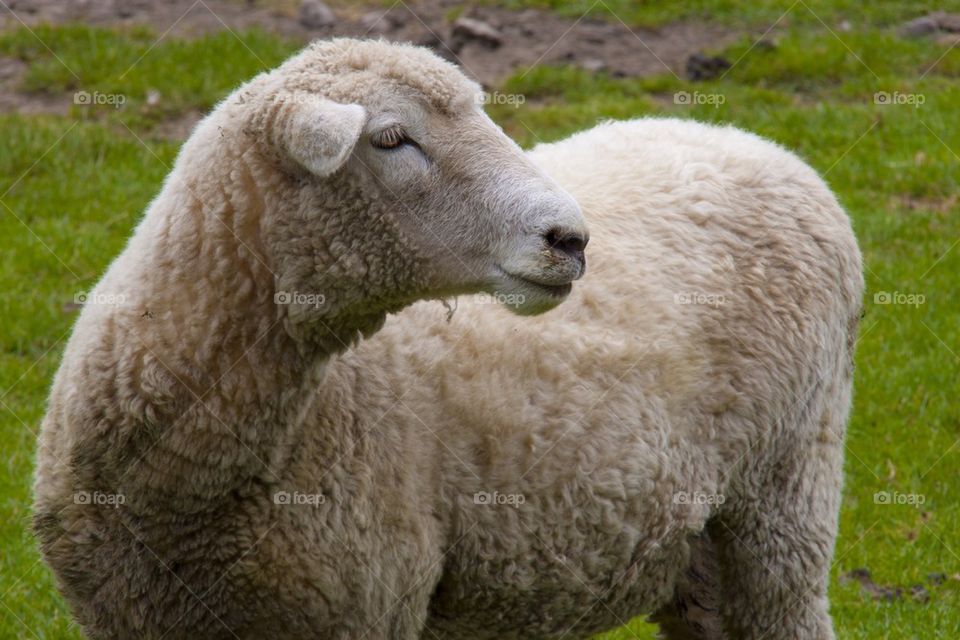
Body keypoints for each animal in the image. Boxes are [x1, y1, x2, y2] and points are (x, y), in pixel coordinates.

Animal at [35, 40, 864, 640]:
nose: (571, 240)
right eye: (392, 138)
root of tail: (753, 144)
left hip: (786, 492)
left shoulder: (366, 605)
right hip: (698, 553)